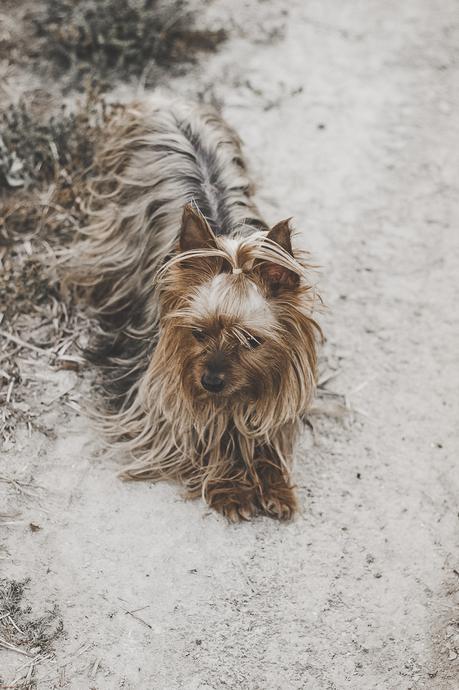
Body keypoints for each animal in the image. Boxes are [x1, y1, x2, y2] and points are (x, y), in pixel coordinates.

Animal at [70, 94, 322, 520]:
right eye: (198, 333)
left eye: (252, 341)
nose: (211, 381)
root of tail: (164, 101)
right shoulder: (159, 393)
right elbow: (194, 435)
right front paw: (232, 486)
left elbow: (265, 433)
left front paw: (274, 484)